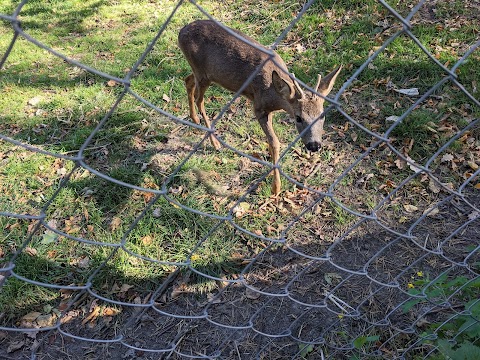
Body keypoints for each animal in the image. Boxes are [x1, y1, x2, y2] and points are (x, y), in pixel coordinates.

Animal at [177, 19, 342, 197]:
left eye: (322, 115)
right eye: (298, 118)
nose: (314, 145)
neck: (274, 93)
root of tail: (181, 31)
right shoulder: (258, 107)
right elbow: (274, 143)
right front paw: (276, 188)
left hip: (202, 74)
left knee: (187, 80)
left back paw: (194, 119)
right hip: (203, 73)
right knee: (199, 100)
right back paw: (214, 142)